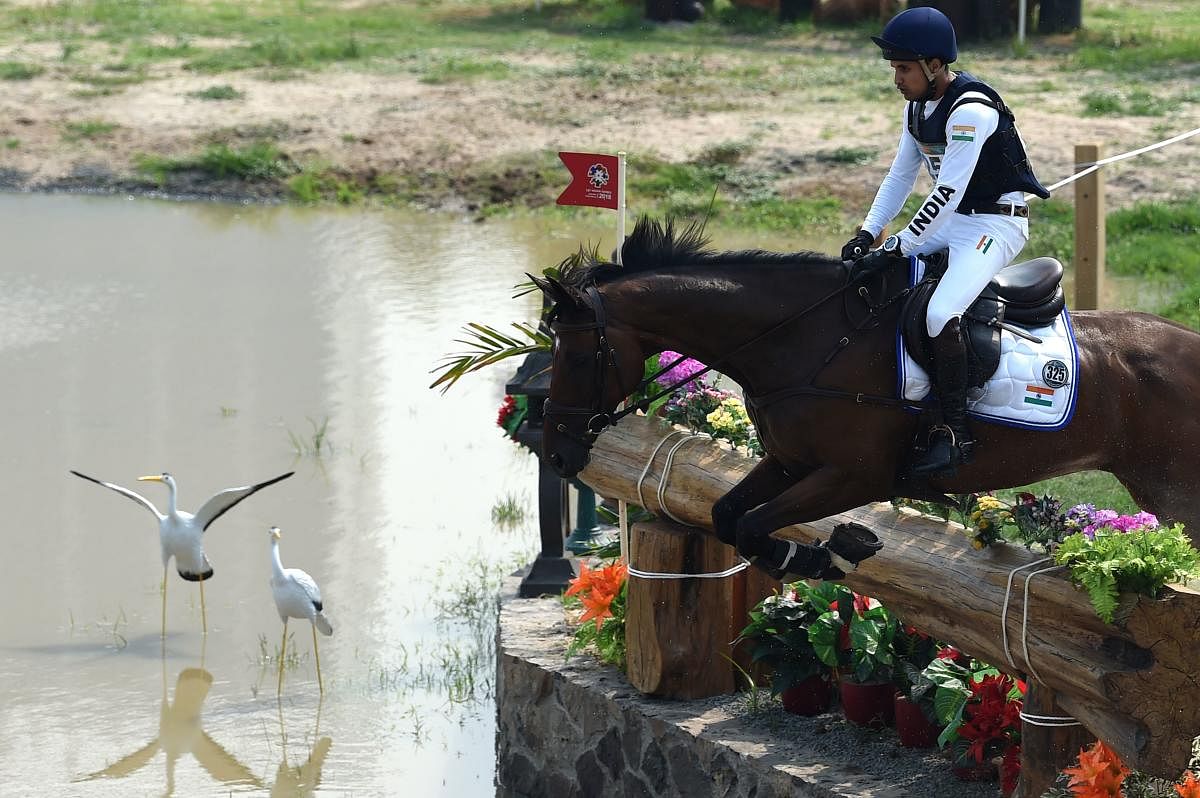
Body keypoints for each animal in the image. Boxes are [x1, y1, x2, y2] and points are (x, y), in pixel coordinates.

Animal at [540, 218, 1200, 576]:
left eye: (575, 356)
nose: (556, 454)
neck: (802, 338)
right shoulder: (789, 461)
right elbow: (730, 517)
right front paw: (819, 558)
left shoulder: (855, 476)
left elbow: (752, 524)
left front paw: (830, 554)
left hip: (1175, 494)